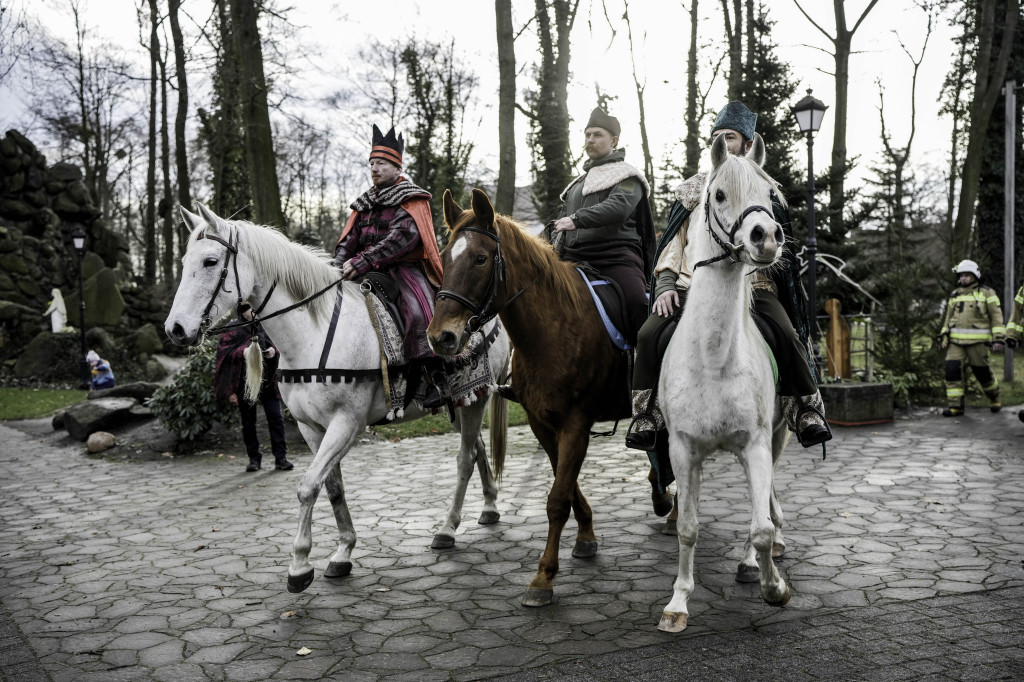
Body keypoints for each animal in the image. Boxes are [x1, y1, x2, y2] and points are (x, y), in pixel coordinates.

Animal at [165, 200, 512, 589]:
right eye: (185, 262)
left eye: (211, 261)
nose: (175, 329)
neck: (311, 333)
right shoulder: (311, 428)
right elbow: (331, 487)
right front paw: (343, 551)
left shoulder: (346, 424)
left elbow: (307, 486)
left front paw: (300, 565)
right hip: (460, 401)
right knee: (477, 448)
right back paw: (489, 506)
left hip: (477, 397)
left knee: (465, 459)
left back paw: (448, 528)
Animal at [425, 187, 626, 606]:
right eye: (444, 256)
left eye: (481, 258)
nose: (441, 337)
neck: (556, 327)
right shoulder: (542, 422)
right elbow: (565, 485)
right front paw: (585, 535)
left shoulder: (576, 422)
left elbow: (557, 499)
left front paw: (543, 577)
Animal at [659, 134, 794, 630]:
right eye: (718, 194)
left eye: (770, 194)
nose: (766, 237)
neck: (714, 360)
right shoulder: (682, 449)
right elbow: (687, 527)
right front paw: (678, 603)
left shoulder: (755, 443)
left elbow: (761, 527)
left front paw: (774, 587)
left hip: (776, 435)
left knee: (767, 504)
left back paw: (755, 562)